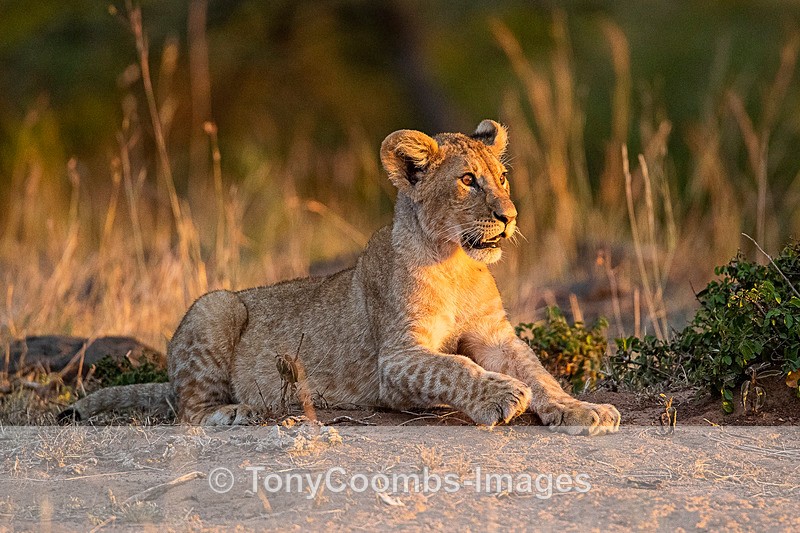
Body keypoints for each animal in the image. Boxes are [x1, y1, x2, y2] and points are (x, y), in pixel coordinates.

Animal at [59, 120, 620, 435]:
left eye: (502, 178)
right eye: (467, 180)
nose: (510, 215)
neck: (458, 264)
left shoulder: (497, 337)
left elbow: (539, 373)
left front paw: (582, 410)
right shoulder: (396, 360)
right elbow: (455, 367)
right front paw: (501, 397)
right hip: (214, 304)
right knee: (187, 411)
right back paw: (236, 413)